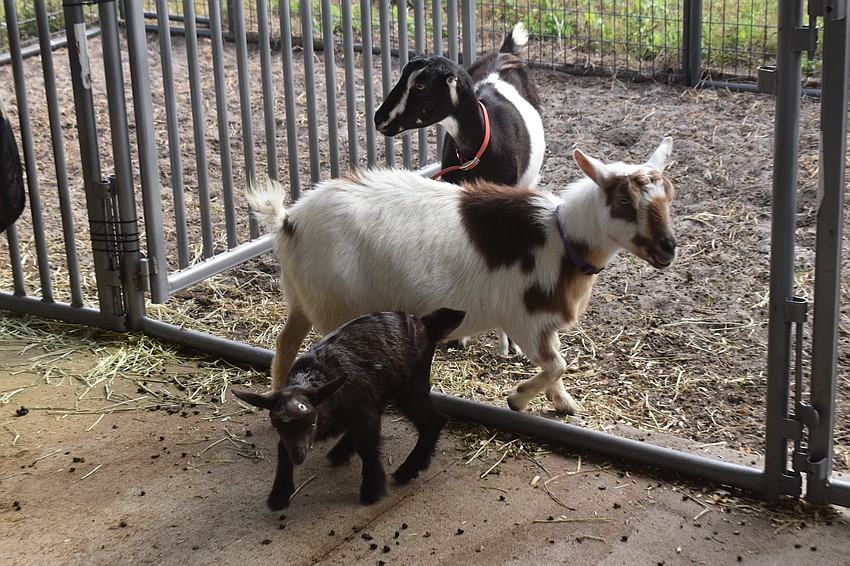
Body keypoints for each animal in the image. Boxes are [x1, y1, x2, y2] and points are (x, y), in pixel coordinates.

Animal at [232, 308, 465, 509]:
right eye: (277, 426)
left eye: (312, 423)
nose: (298, 456)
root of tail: (425, 323)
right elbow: (282, 450)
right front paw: (279, 496)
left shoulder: (364, 412)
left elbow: (368, 447)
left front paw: (372, 491)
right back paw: (341, 452)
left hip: (410, 384)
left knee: (434, 420)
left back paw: (408, 470)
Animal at [247, 137, 676, 416]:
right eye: (624, 200)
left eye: (668, 196)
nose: (668, 248)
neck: (561, 237)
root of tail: (289, 221)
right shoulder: (526, 321)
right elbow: (557, 364)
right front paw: (518, 398)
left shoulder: (542, 325)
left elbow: (557, 367)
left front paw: (564, 404)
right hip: (336, 304)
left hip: (305, 297)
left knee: (284, 346)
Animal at [374, 22, 543, 354]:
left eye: (422, 85)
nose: (379, 118)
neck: (479, 149)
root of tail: (506, 51)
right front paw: (459, 333)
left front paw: (509, 343)